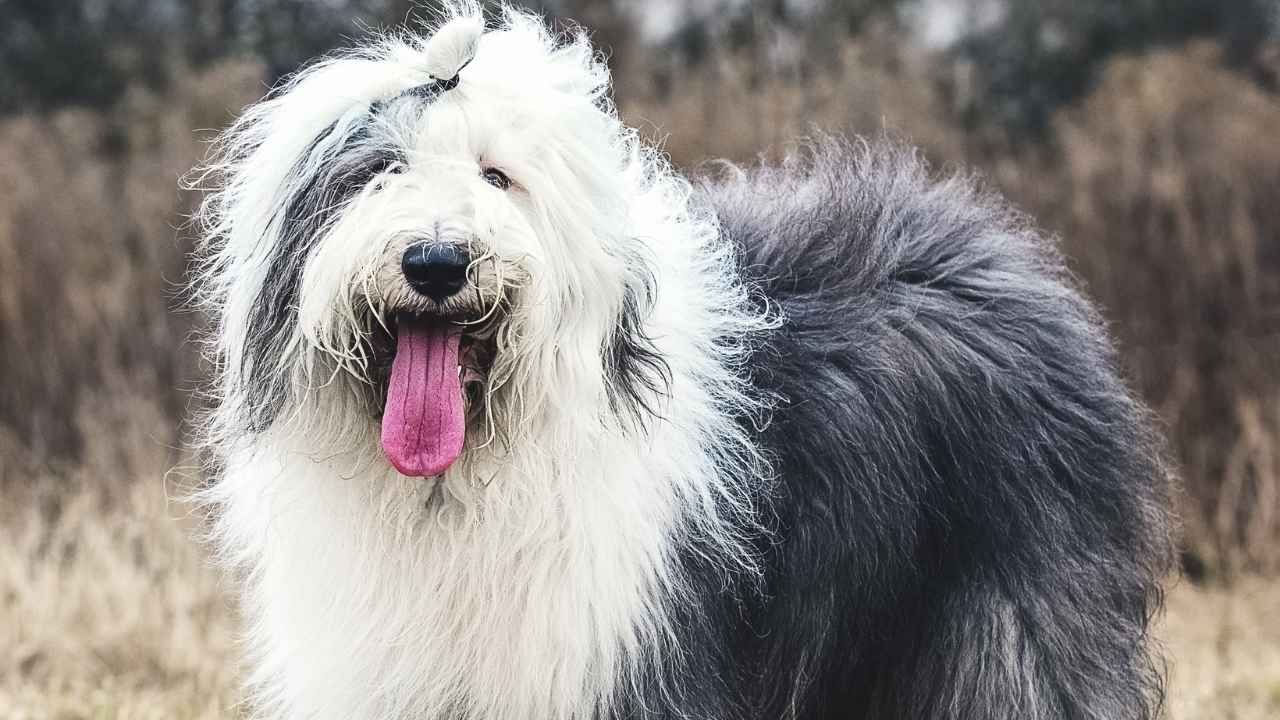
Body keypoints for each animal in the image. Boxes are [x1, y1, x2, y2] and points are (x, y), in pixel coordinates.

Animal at [186, 2, 1172, 712]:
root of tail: (1000, 251)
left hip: (1008, 620)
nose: (436, 261)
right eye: (377, 174)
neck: (459, 484)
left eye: (499, 177)